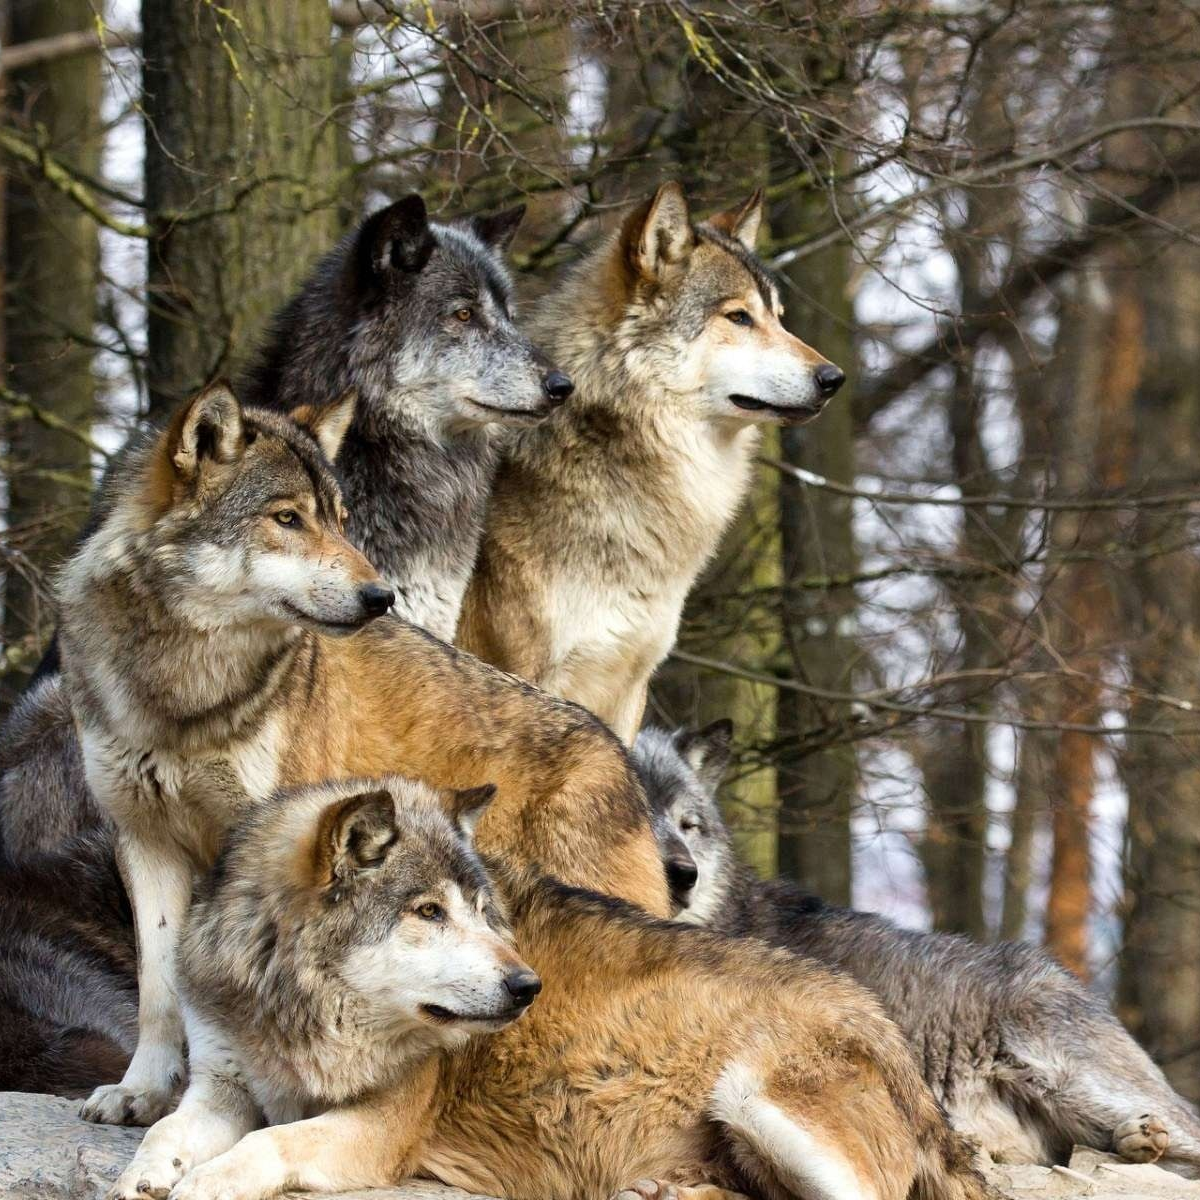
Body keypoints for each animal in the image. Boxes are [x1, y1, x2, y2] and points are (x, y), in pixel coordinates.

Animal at [55, 383, 666, 1126]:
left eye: (342, 520)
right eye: (287, 518)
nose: (380, 597)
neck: (185, 691)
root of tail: (621, 754)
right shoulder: (144, 842)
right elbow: (158, 988)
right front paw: (142, 1092)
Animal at [112, 774, 991, 1200]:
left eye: (483, 912)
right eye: (428, 912)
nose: (525, 984)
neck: (297, 1008)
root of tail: (898, 1045)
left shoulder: (380, 1129)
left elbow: (271, 1144)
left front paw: (204, 1184)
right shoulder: (222, 1085)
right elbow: (169, 1132)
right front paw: (147, 1175)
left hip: (756, 1097)